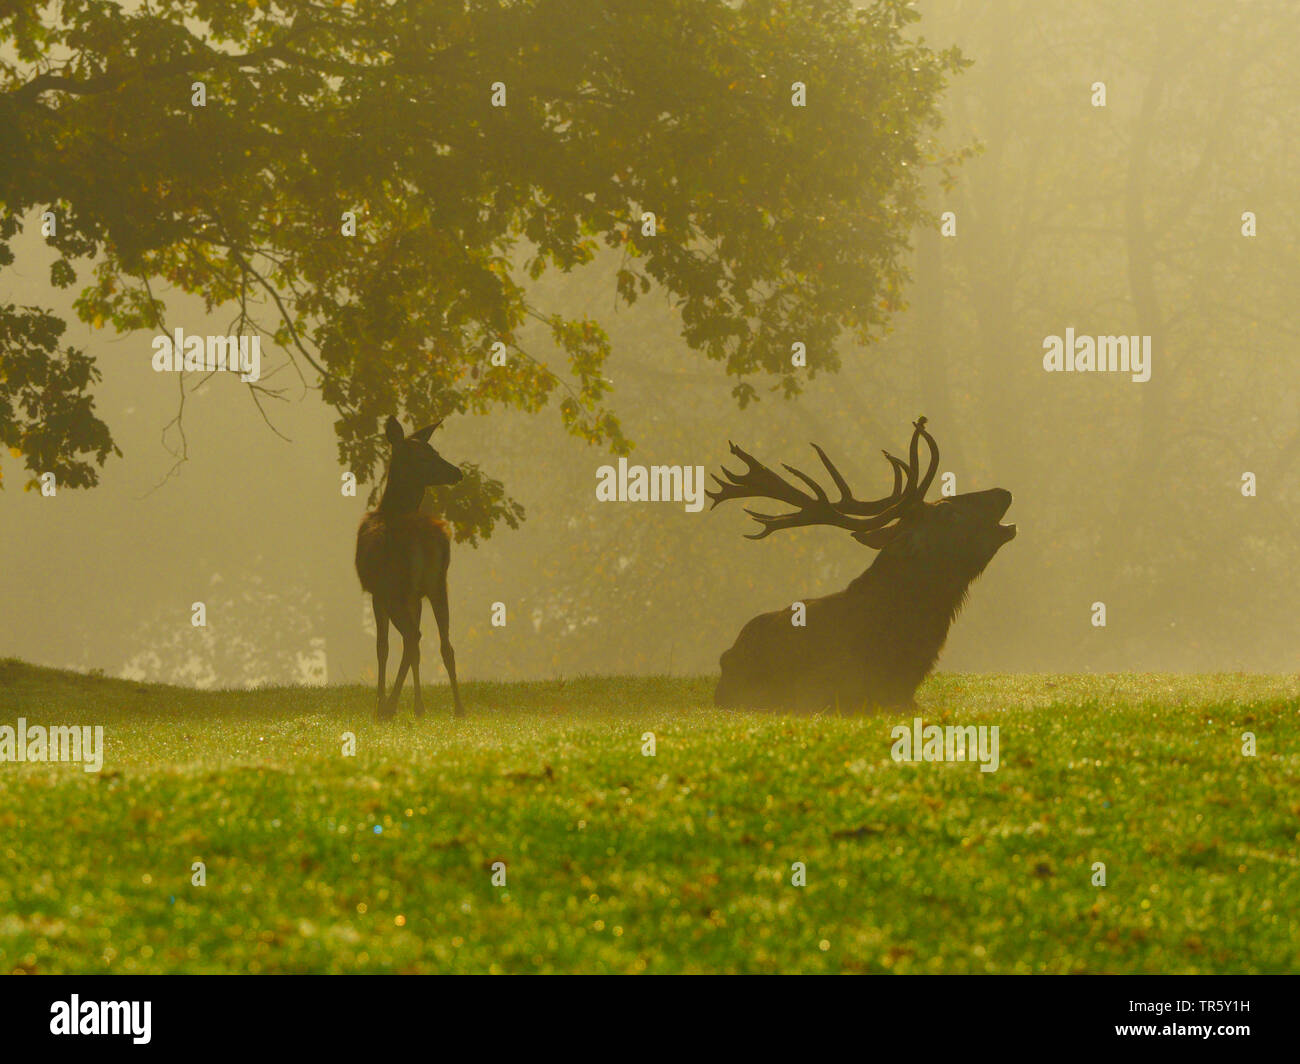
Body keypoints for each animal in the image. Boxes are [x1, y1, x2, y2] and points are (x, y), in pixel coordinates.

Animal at [355, 416, 465, 719]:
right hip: (438, 584)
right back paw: (458, 708)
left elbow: (382, 647)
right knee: (444, 644)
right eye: (426, 454)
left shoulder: (377, 592)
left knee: (412, 638)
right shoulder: (415, 596)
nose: (458, 472)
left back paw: (388, 707)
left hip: (396, 587)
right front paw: (419, 704)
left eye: (433, 452)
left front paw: (380, 700)